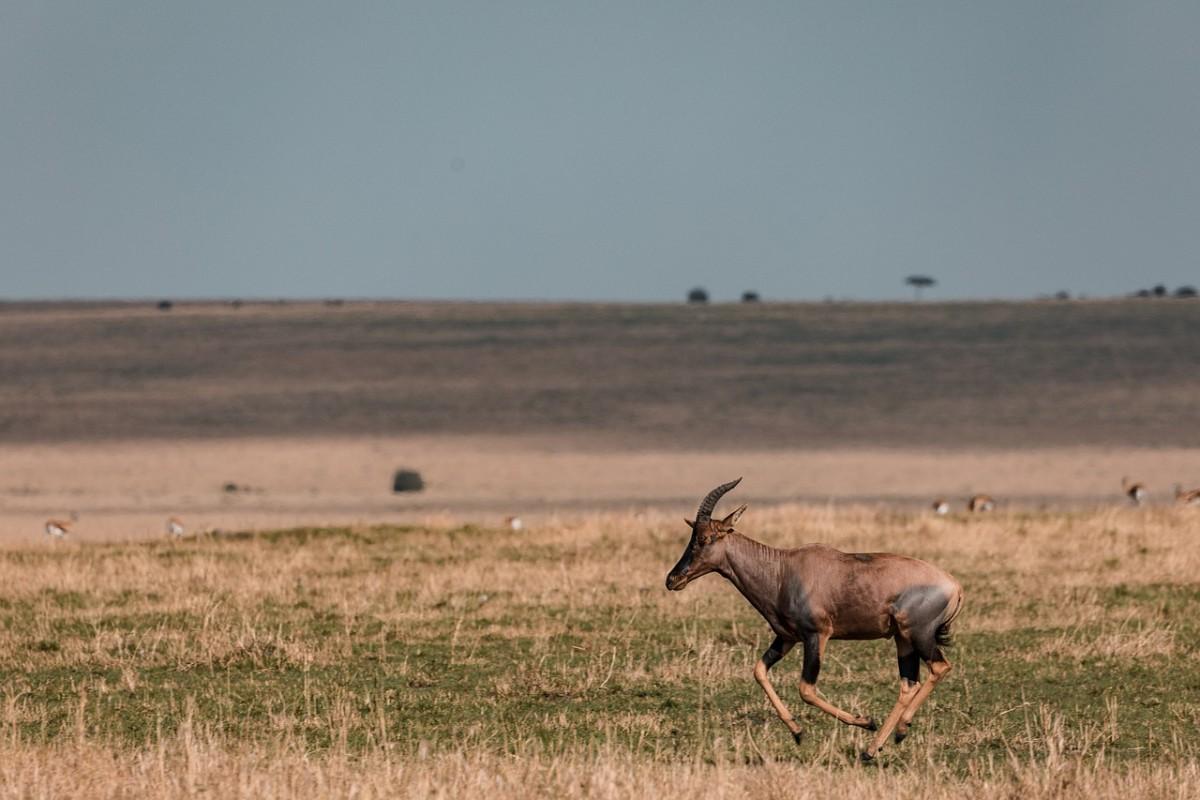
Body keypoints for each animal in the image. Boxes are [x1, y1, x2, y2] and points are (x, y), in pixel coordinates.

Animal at [667, 479, 964, 762]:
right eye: (692, 536)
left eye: (705, 538)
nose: (672, 579)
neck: (782, 570)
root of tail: (954, 586)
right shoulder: (786, 637)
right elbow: (759, 671)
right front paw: (797, 731)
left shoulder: (816, 635)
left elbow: (806, 689)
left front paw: (864, 720)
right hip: (903, 640)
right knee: (907, 684)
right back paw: (875, 747)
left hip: (919, 635)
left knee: (940, 667)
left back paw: (897, 731)